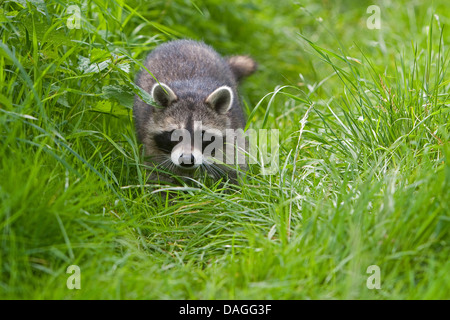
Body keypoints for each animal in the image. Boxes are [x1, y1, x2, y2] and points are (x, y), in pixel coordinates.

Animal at [134, 39, 256, 184]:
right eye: (175, 134)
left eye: (202, 135)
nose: (187, 160)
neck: (191, 93)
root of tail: (182, 41)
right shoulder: (151, 140)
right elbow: (158, 175)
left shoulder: (233, 131)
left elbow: (234, 167)